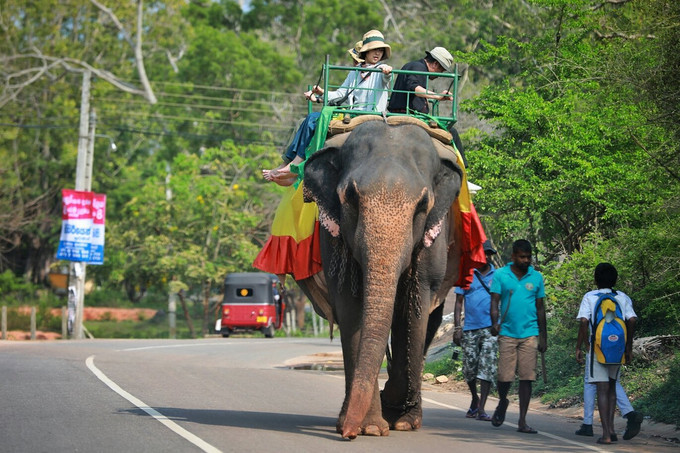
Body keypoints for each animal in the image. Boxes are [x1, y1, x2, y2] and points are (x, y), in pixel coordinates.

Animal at [300, 120, 464, 438]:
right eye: (351, 198)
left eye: (422, 205)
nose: (347, 434)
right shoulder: (333, 236)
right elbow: (350, 305)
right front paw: (372, 427)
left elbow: (414, 308)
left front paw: (398, 418)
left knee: (430, 320)